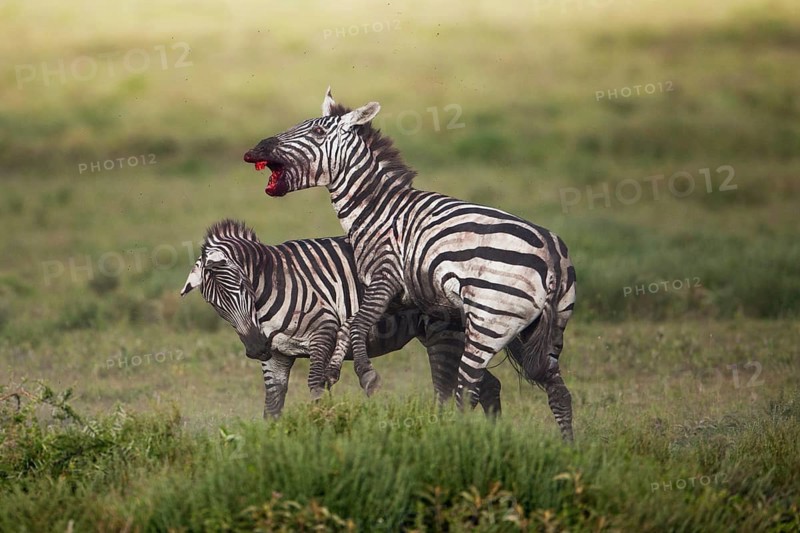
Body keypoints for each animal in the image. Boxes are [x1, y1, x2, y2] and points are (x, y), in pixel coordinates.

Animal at [180, 219, 502, 418]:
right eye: (214, 305)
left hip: (443, 334)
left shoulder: (324, 330)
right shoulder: (277, 356)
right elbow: (272, 408)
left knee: (450, 390)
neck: (273, 283)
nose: (256, 348)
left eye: (243, 286)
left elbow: (315, 387)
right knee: (486, 386)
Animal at [242, 89, 577, 440]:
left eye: (319, 132)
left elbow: (357, 324)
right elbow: (351, 324)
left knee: (467, 390)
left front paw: (366, 376)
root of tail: (552, 253)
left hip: (489, 321)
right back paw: (567, 447)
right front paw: (334, 369)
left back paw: (456, 435)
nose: (254, 151)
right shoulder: (401, 294)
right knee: (558, 392)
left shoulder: (385, 275)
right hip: (538, 331)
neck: (377, 208)